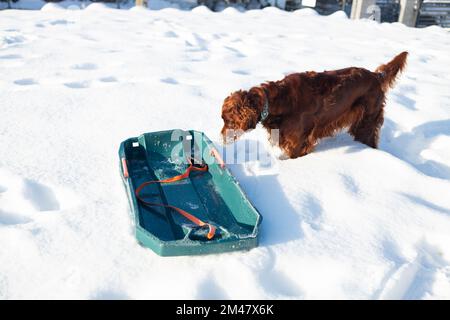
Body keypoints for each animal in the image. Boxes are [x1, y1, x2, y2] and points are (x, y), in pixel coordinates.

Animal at [221, 51, 408, 159]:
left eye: (228, 121)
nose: (221, 138)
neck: (278, 100)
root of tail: (376, 76)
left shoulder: (298, 142)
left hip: (367, 122)